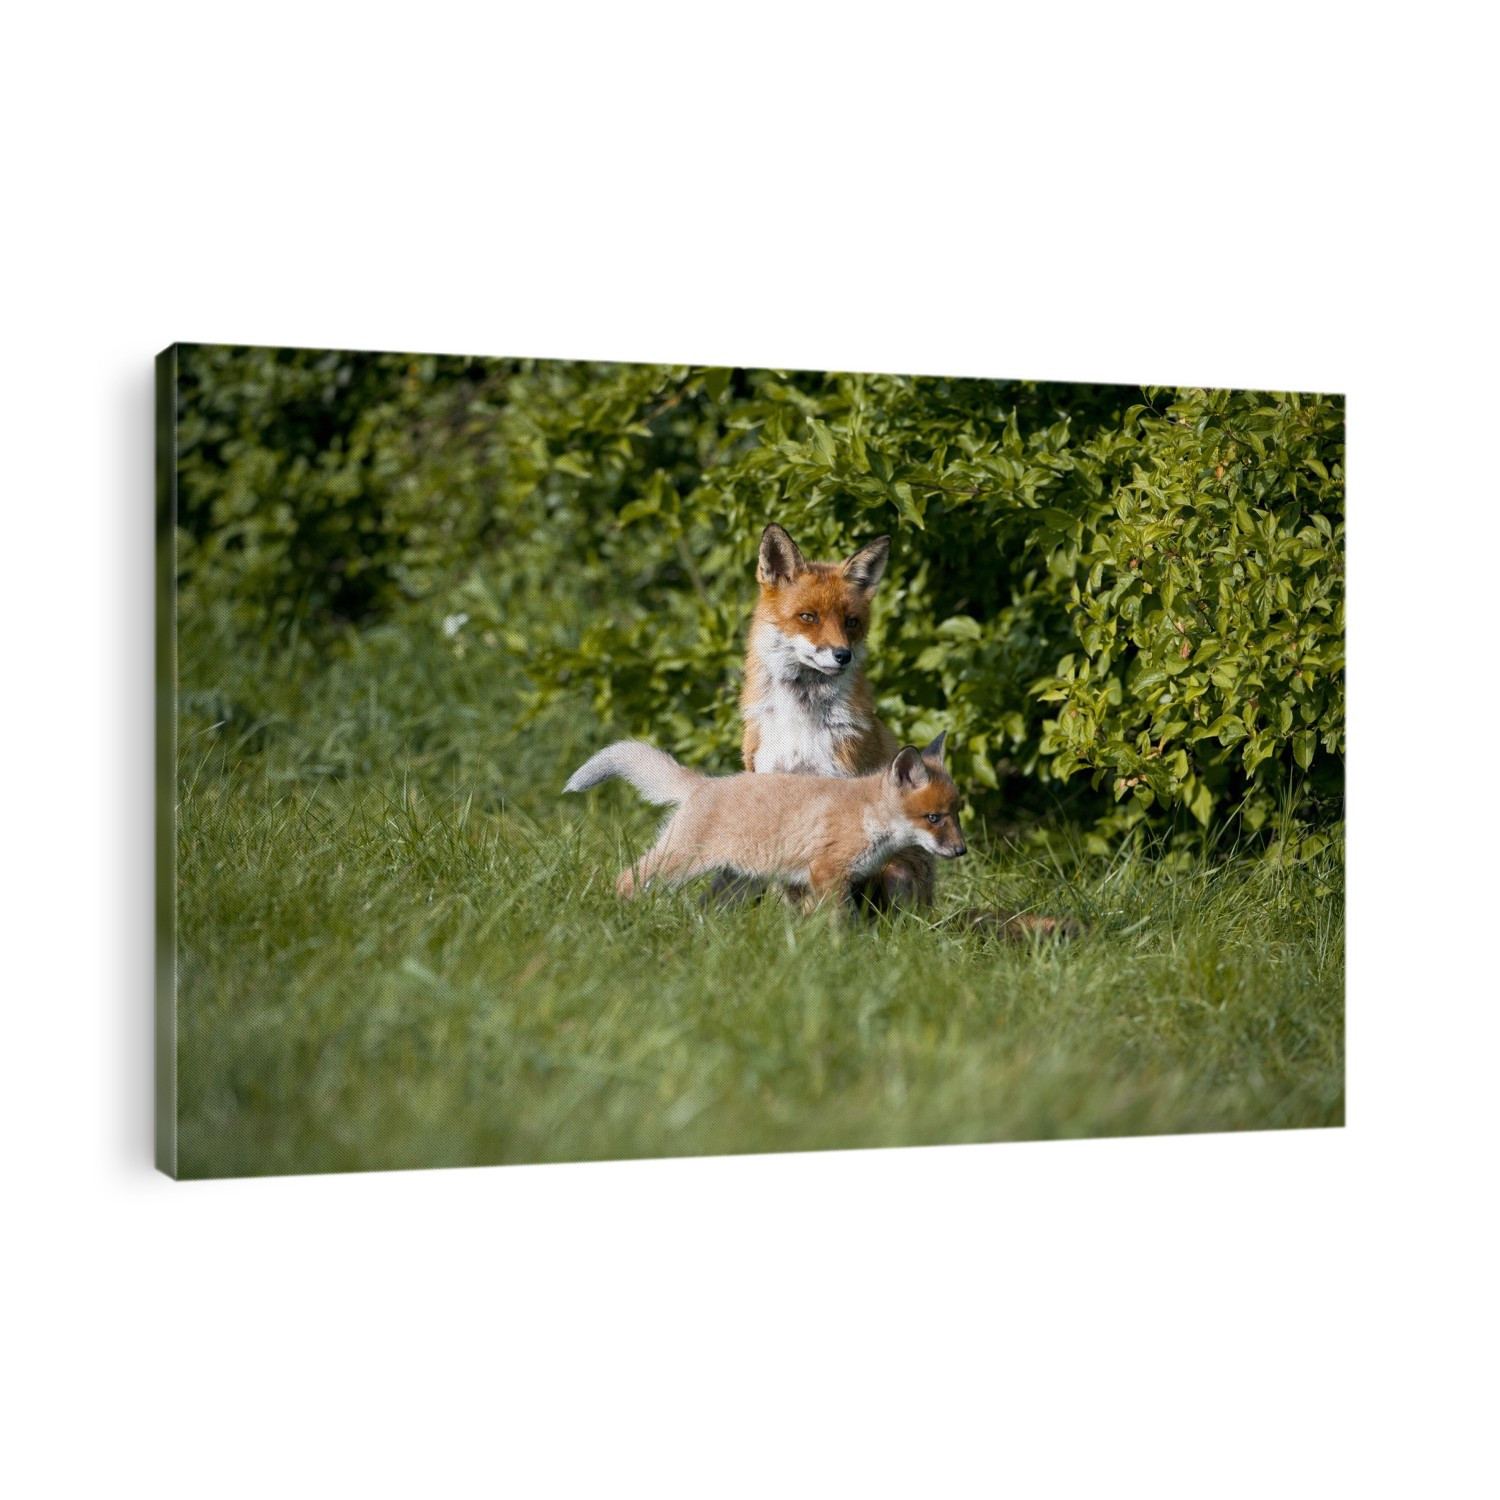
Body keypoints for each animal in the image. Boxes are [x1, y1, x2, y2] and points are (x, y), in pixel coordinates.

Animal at [564, 733, 967, 906]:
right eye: (933, 818)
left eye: (956, 814)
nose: (962, 851)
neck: (868, 817)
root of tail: (704, 783)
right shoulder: (825, 875)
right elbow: (839, 924)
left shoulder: (821, 881)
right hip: (679, 863)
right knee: (626, 880)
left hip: (735, 882)